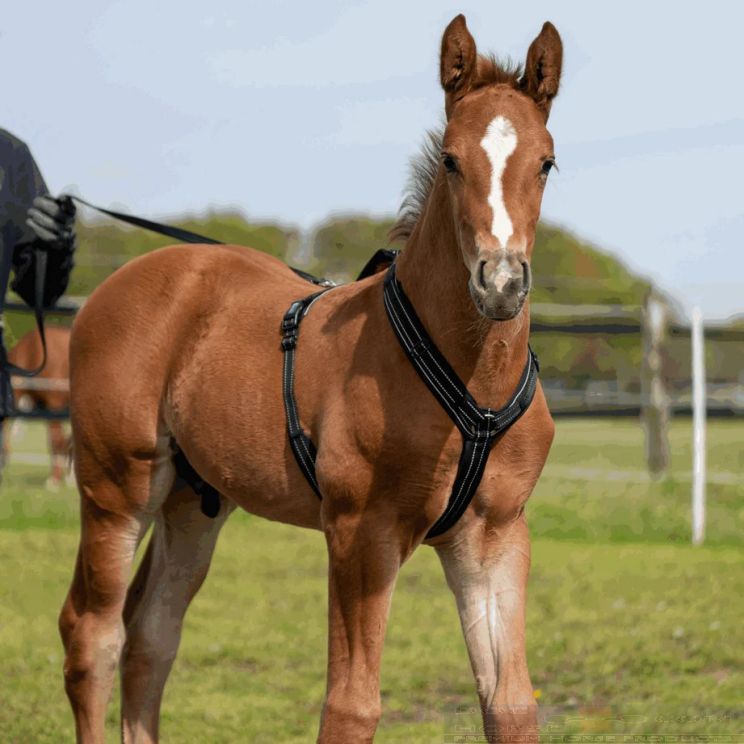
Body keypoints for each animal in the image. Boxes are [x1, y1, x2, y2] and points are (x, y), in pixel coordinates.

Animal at [59, 15, 562, 743]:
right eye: (450, 160)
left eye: (546, 162)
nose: (499, 283)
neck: (473, 387)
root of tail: (115, 286)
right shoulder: (359, 533)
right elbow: (351, 706)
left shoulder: (495, 536)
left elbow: (511, 705)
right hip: (116, 488)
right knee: (93, 636)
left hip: (193, 500)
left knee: (150, 635)